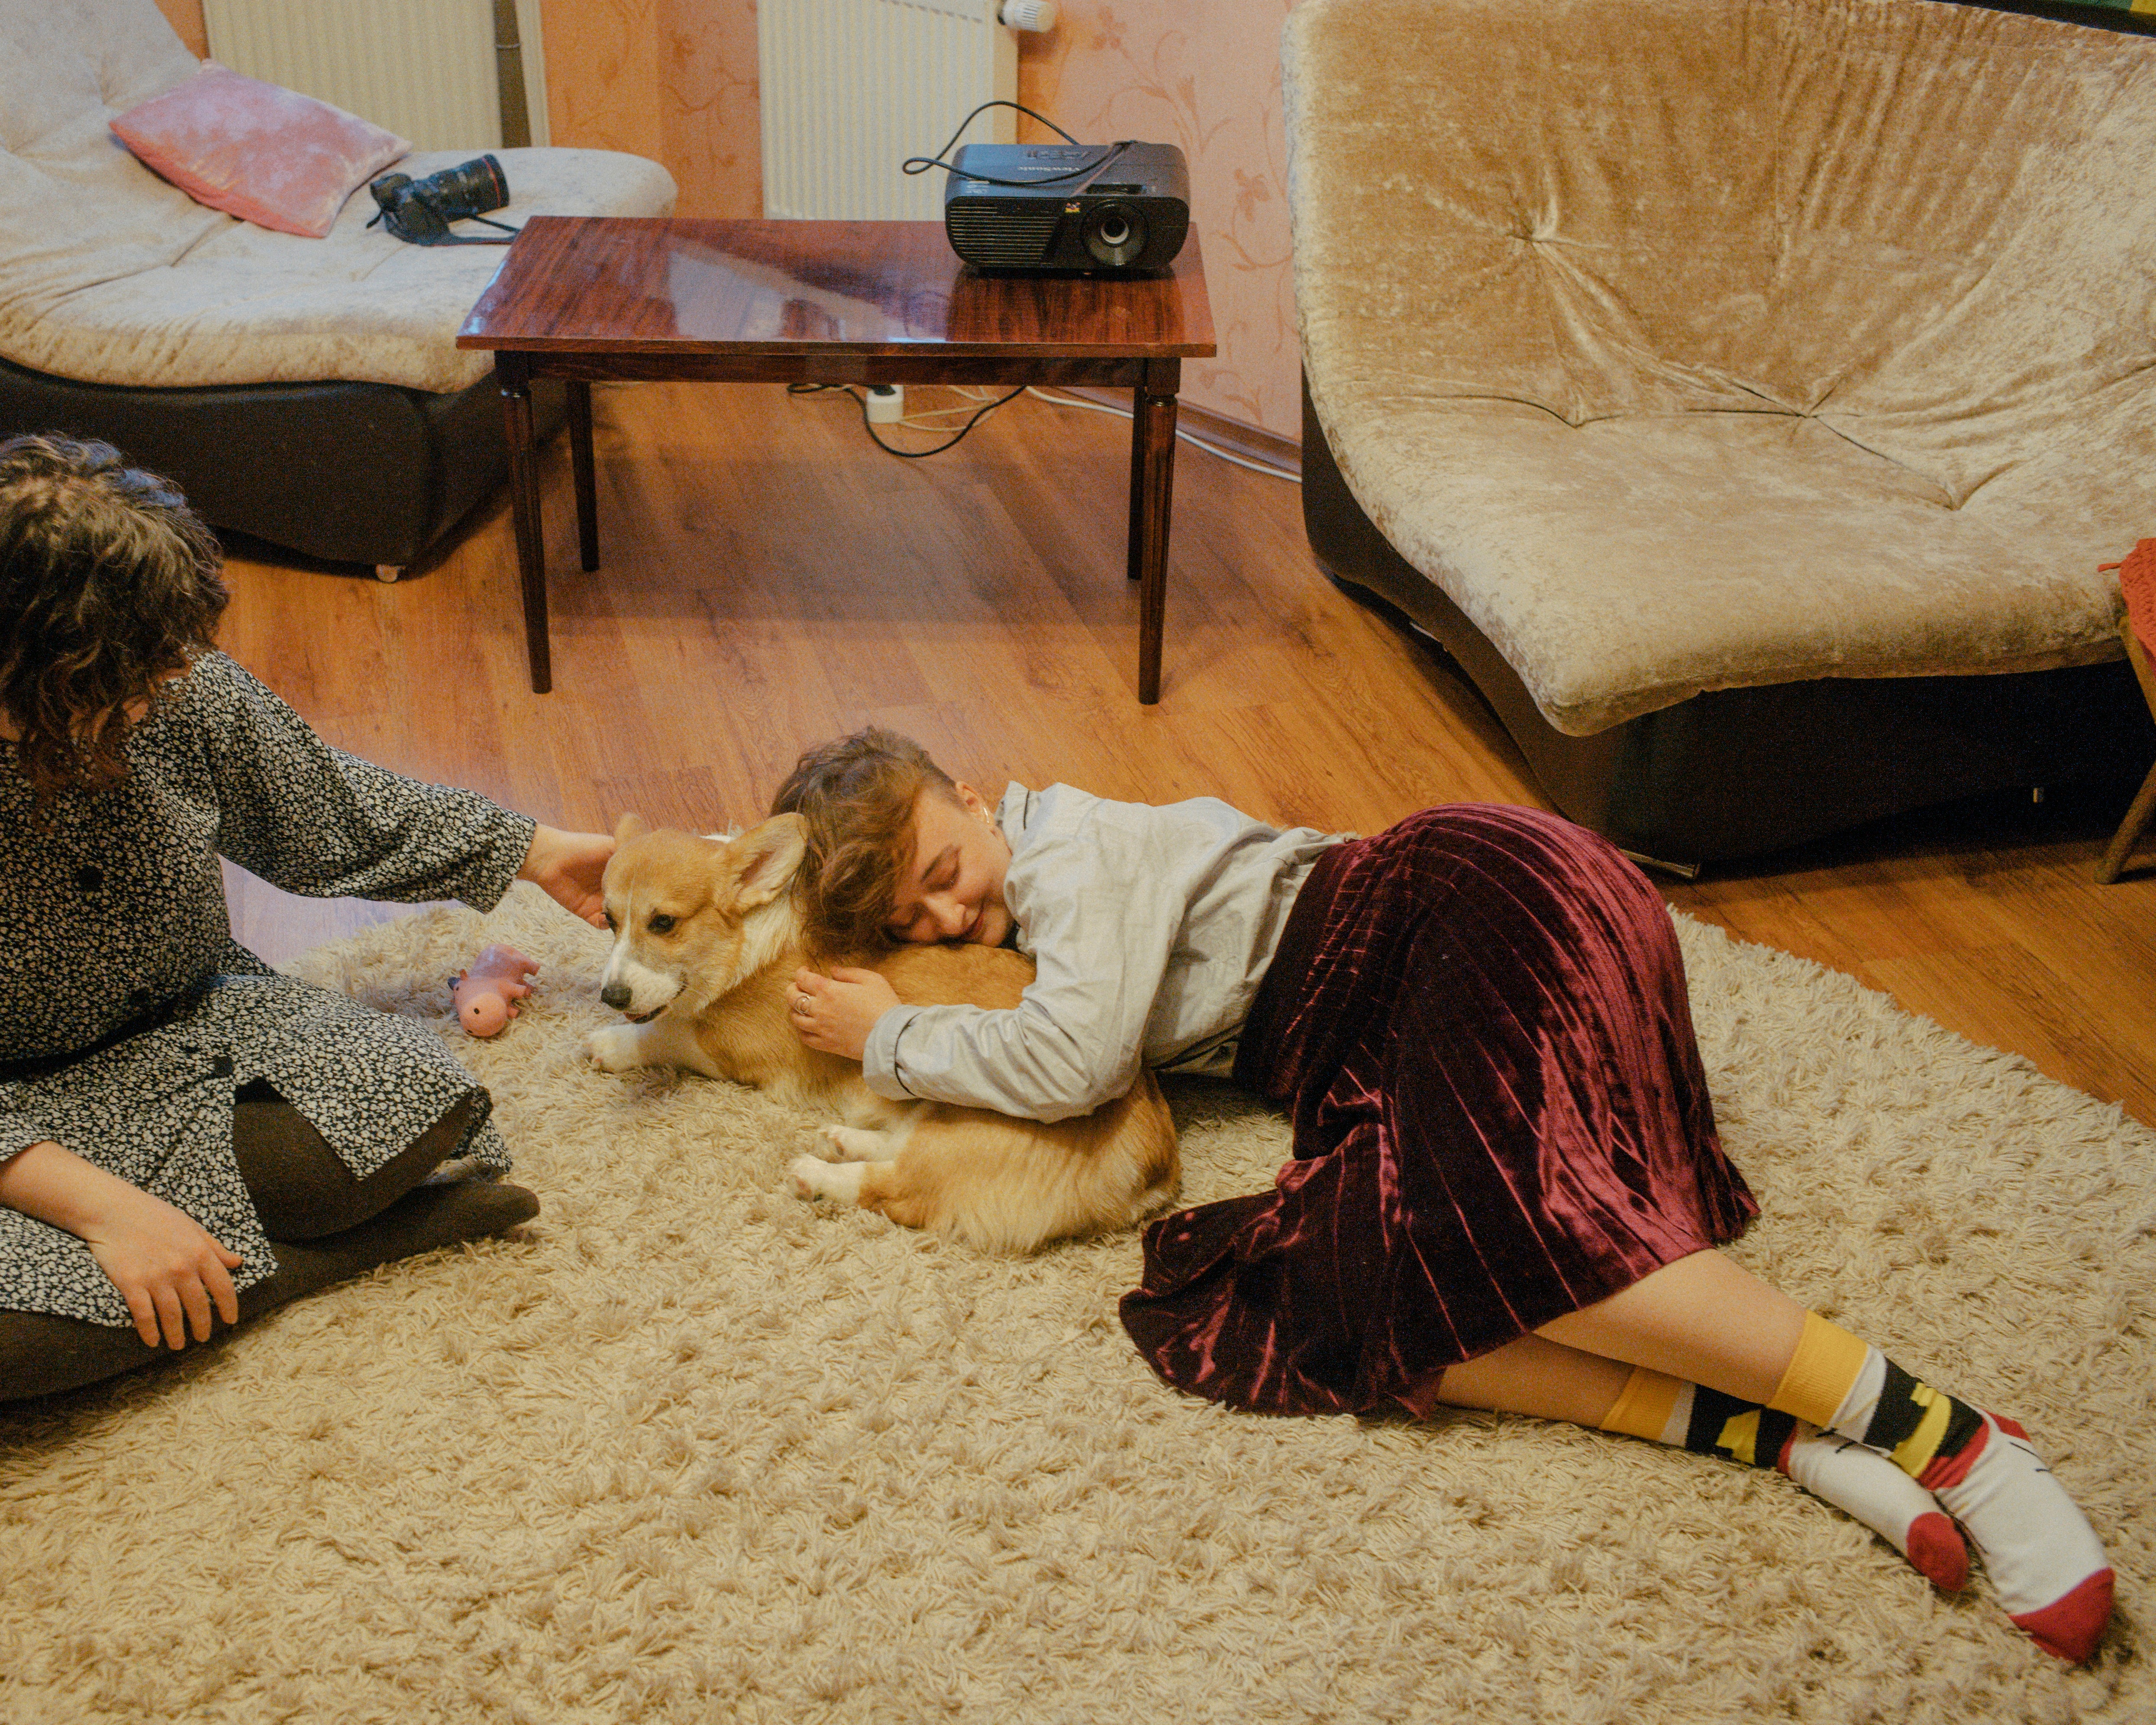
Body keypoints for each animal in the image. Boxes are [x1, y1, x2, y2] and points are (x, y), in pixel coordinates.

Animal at [591, 815, 1181, 1250]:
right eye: (609, 920)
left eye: (663, 923)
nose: (609, 996)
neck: (751, 934)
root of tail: (1156, 1163)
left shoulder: (726, 1044)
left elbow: (667, 1031)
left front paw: (608, 1043)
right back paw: (844, 1140)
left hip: (965, 1123)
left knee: (898, 1189)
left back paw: (817, 1174)